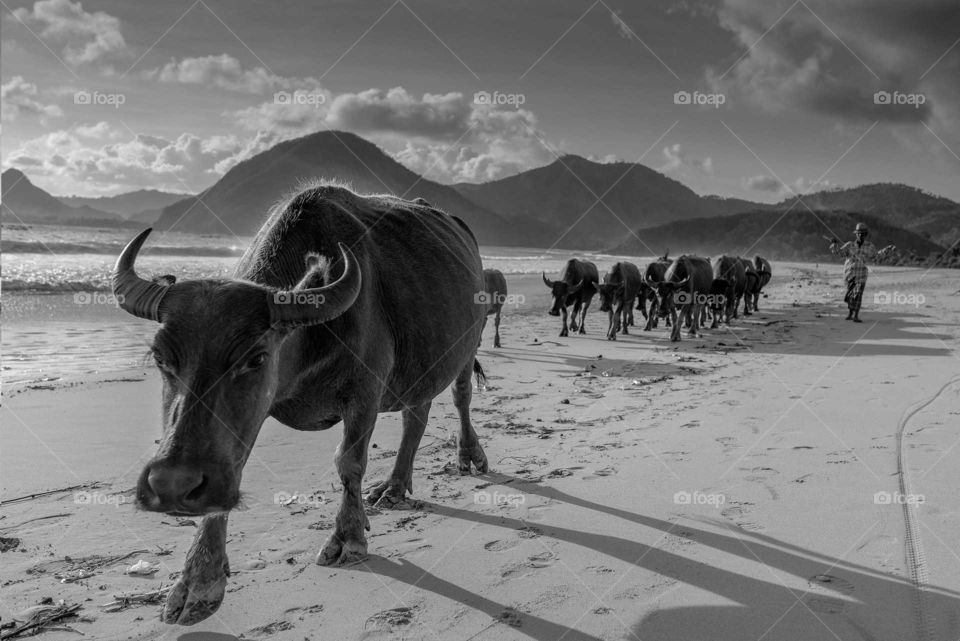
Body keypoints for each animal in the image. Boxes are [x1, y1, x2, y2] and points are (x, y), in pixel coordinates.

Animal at [111, 185, 490, 625]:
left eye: (256, 358)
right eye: (160, 357)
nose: (172, 485)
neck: (311, 339)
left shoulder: (365, 393)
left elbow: (349, 463)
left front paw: (349, 538)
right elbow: (232, 466)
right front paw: (199, 580)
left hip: (468, 345)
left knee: (460, 396)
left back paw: (469, 456)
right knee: (417, 414)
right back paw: (394, 487)